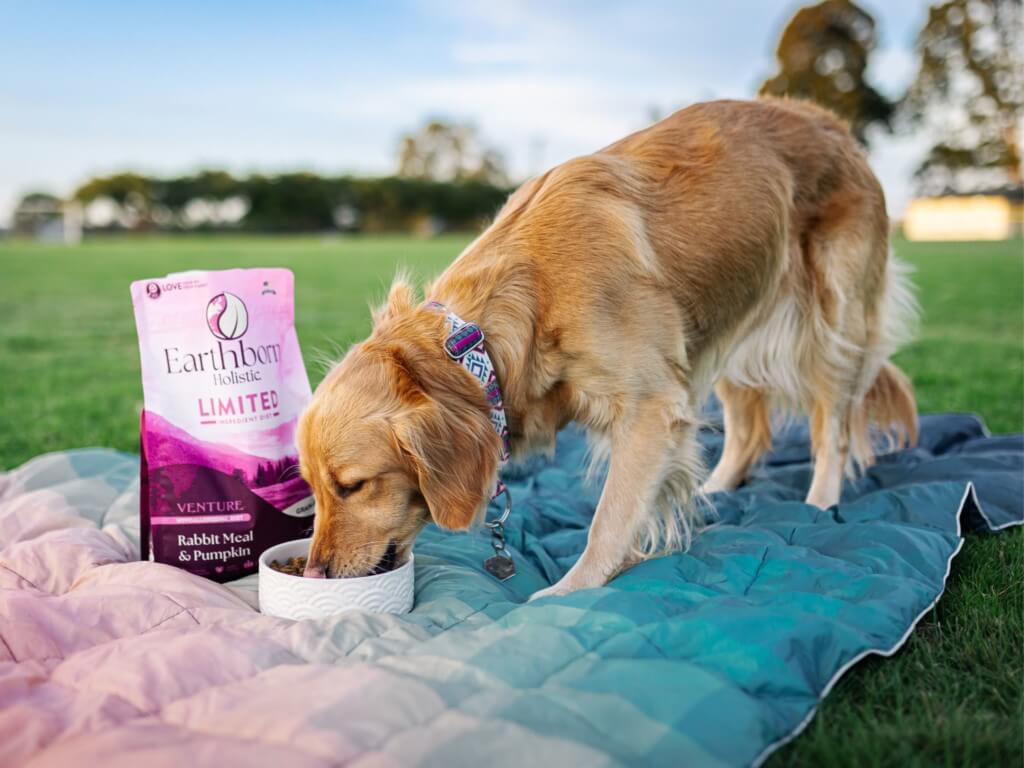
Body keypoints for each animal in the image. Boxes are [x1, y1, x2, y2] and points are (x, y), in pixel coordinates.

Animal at [296, 97, 921, 602]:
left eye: (352, 486)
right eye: (311, 489)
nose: (315, 573)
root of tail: (833, 124)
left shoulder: (651, 406)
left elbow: (610, 517)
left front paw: (571, 591)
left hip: (832, 318)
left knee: (832, 429)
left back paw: (818, 505)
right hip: (723, 322)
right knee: (747, 431)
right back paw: (715, 489)